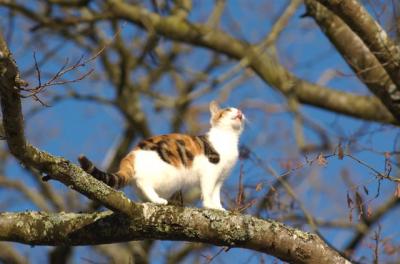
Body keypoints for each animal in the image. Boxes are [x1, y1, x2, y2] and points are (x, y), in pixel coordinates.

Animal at [79, 101, 244, 210]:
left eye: (239, 110)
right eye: (228, 109)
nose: (240, 112)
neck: (228, 138)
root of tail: (131, 154)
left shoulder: (221, 177)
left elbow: (216, 193)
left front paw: (219, 208)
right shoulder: (210, 170)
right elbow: (208, 191)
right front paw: (210, 206)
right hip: (169, 174)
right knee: (144, 182)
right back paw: (159, 201)